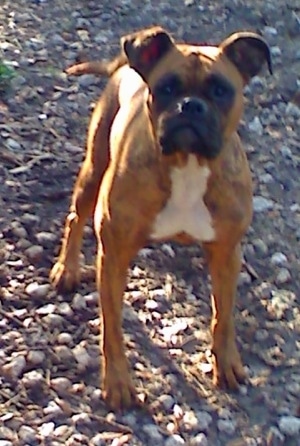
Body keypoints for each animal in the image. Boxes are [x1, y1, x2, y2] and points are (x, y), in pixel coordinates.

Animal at [49, 26, 272, 410]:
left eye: (221, 90)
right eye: (167, 87)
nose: (191, 105)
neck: (188, 163)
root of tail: (125, 65)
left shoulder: (227, 253)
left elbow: (224, 316)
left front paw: (227, 362)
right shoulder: (114, 254)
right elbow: (112, 326)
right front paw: (118, 380)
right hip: (93, 170)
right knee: (75, 218)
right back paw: (67, 268)